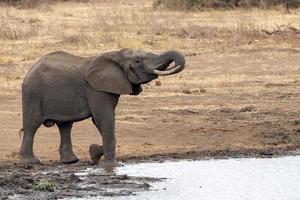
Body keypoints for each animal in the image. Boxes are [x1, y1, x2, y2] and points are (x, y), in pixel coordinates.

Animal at [19, 48, 185, 166]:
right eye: (138, 61)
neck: (116, 54)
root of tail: (31, 69)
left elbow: (102, 122)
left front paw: (94, 152)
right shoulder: (96, 90)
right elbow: (103, 119)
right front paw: (112, 165)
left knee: (65, 126)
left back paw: (71, 161)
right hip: (33, 93)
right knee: (32, 125)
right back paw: (31, 162)